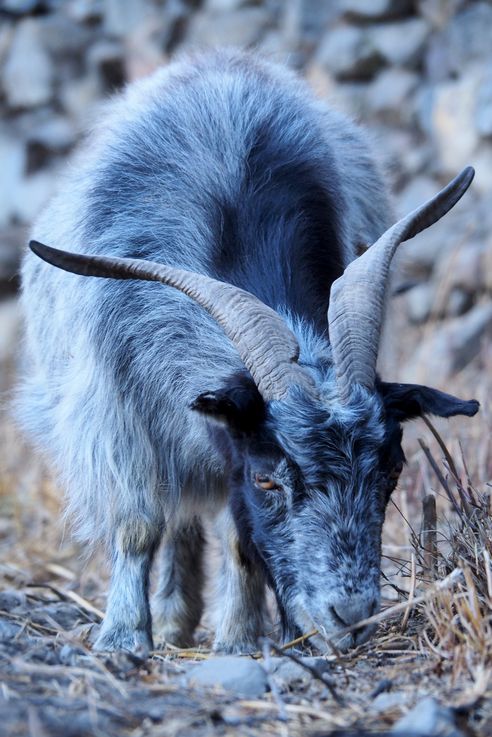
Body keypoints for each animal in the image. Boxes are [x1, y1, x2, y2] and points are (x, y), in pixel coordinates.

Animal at [19, 49, 476, 652]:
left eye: (392, 469)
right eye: (267, 480)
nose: (350, 615)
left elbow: (238, 535)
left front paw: (239, 638)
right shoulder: (114, 409)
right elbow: (138, 524)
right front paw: (123, 636)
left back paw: (182, 616)